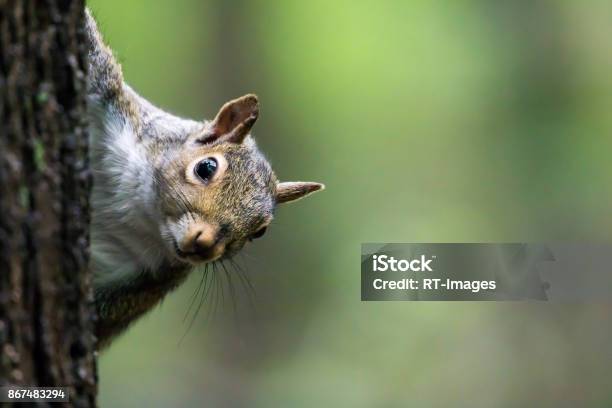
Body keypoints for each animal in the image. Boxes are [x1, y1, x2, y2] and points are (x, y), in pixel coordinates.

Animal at [85, 8, 326, 348]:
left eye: (260, 231)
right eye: (206, 168)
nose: (206, 243)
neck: (138, 209)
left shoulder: (141, 284)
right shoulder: (112, 101)